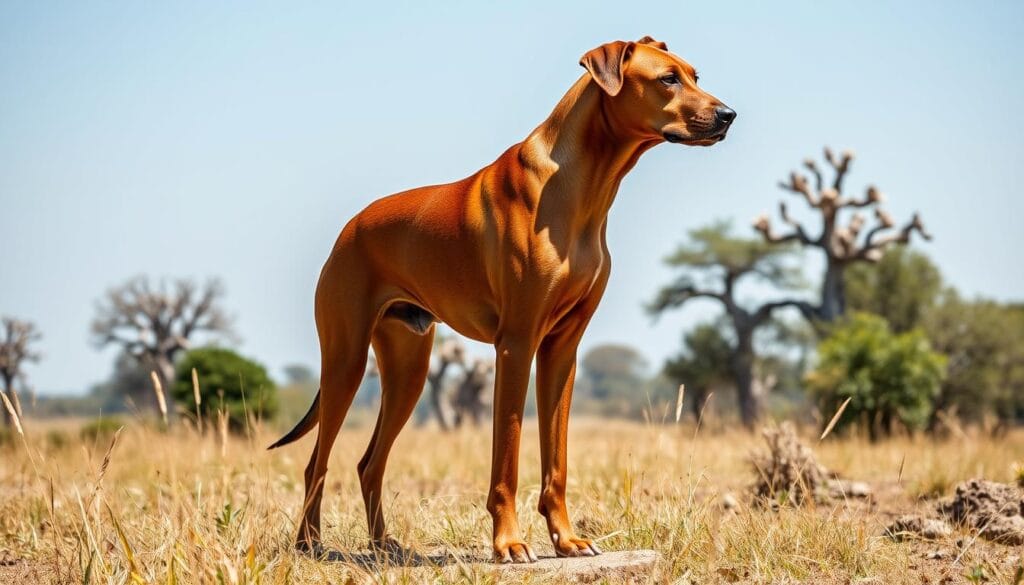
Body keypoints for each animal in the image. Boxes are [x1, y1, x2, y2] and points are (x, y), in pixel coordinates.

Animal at [270, 35, 737, 561]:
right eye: (668, 79)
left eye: (695, 75)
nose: (728, 115)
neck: (581, 185)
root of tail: (350, 227)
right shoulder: (515, 343)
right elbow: (507, 456)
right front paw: (509, 543)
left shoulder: (562, 350)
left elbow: (557, 462)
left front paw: (566, 539)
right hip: (346, 362)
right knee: (317, 461)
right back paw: (309, 542)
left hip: (409, 371)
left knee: (369, 462)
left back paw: (384, 544)